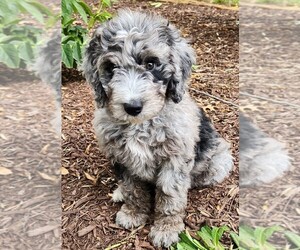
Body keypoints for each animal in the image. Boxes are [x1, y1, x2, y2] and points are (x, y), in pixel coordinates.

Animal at [83, 10, 233, 248]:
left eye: (151, 64)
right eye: (111, 68)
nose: (132, 107)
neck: (142, 124)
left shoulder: (175, 160)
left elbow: (170, 196)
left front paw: (166, 229)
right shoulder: (123, 159)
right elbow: (132, 189)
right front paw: (133, 213)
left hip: (218, 160)